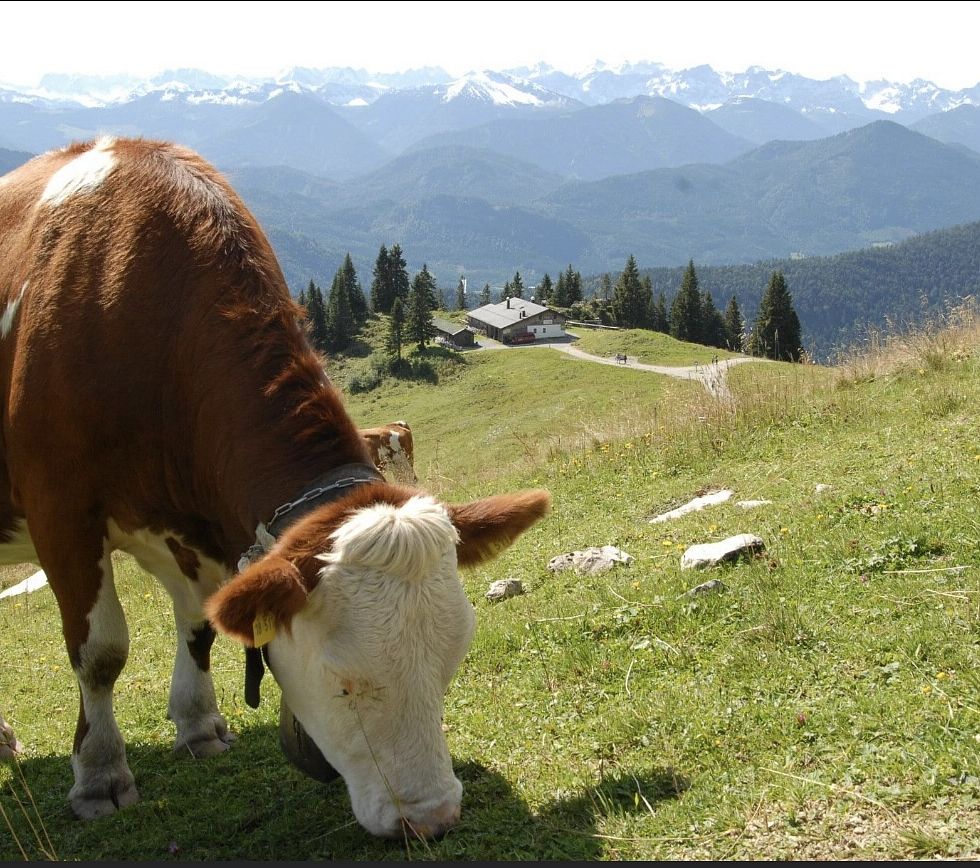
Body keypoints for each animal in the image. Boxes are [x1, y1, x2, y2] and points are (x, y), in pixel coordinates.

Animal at [0, 137, 552, 840]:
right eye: (342, 684)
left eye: (451, 661)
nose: (431, 818)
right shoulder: (61, 510)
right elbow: (99, 651)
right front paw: (99, 775)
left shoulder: (185, 524)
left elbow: (202, 622)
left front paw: (199, 728)